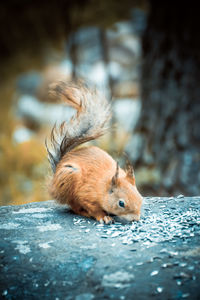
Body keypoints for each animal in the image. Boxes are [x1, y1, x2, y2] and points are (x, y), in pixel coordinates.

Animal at [45, 81, 142, 224]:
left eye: (140, 197)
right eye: (121, 203)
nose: (135, 219)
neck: (103, 186)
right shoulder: (86, 195)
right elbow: (93, 209)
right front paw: (104, 217)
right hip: (68, 179)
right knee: (74, 207)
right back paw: (84, 213)